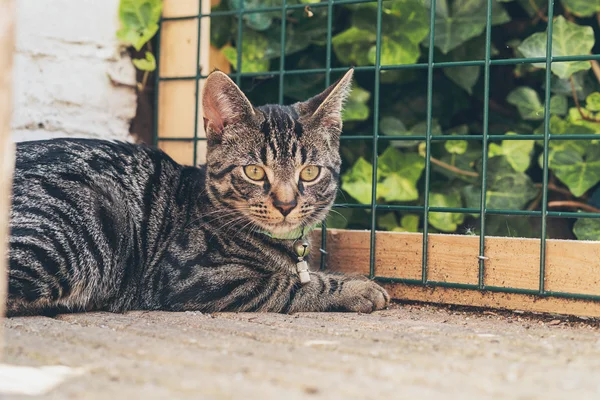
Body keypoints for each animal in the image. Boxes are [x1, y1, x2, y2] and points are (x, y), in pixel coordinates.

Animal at [7, 70, 390, 318]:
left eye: (309, 172)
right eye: (254, 171)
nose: (286, 204)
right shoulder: (191, 276)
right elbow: (289, 284)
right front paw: (357, 288)